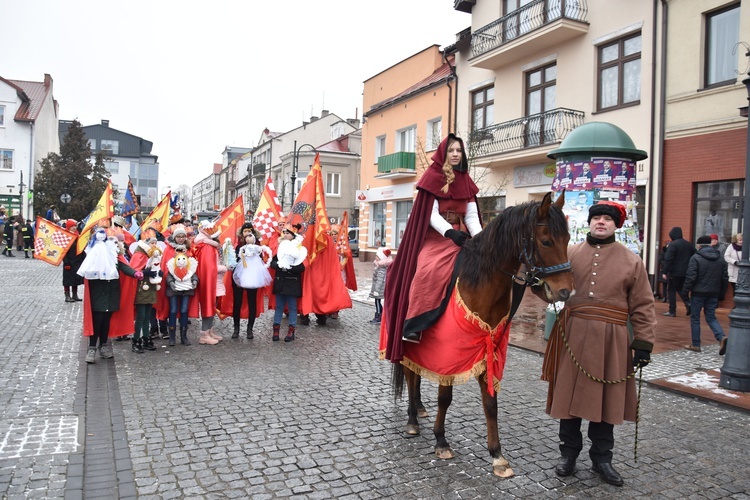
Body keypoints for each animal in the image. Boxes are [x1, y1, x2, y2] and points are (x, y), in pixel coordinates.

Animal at [394, 190, 576, 476]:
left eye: (567, 240)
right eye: (546, 241)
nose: (565, 292)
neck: (482, 285)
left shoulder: (488, 350)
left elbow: (491, 404)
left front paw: (497, 455)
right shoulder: (450, 354)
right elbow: (445, 398)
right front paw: (441, 441)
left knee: (416, 375)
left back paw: (420, 409)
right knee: (411, 376)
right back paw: (413, 419)